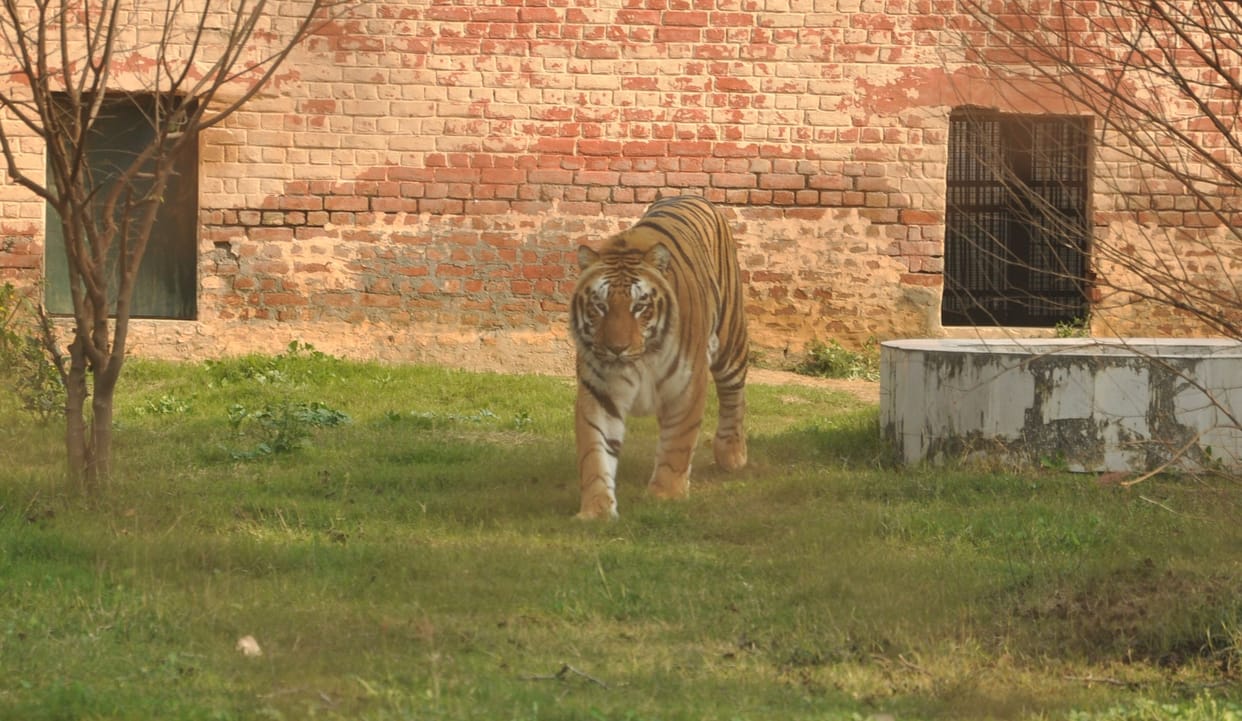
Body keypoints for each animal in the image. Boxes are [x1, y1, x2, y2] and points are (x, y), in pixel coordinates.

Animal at [569, 195, 749, 520]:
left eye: (639, 306)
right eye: (599, 306)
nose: (616, 348)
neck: (641, 360)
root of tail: (692, 195)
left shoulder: (687, 383)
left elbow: (678, 441)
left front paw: (665, 496)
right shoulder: (599, 390)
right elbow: (595, 451)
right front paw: (596, 510)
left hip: (730, 340)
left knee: (734, 394)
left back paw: (732, 453)